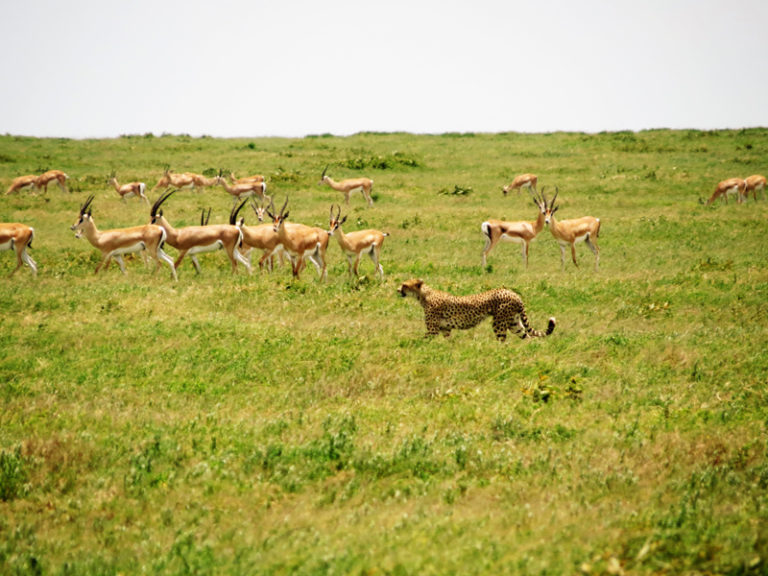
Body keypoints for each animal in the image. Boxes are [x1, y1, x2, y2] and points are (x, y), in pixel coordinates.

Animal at [400, 280, 556, 342]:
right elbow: (449, 341)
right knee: (527, 337)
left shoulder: (433, 330)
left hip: (499, 322)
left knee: (502, 340)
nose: (397, 290)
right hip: (514, 322)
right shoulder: (445, 329)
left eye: (404, 285)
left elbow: (423, 340)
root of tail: (513, 293)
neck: (424, 294)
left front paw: (415, 346)